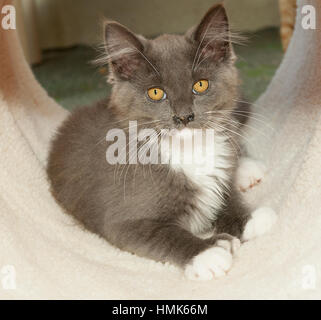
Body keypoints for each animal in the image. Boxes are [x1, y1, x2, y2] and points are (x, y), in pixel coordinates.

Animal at [47, 4, 276, 280]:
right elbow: (166, 234)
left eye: (200, 85)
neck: (188, 151)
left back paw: (247, 169)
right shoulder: (123, 221)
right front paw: (209, 252)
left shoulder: (218, 176)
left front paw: (250, 219)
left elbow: (226, 194)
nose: (184, 117)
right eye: (156, 93)